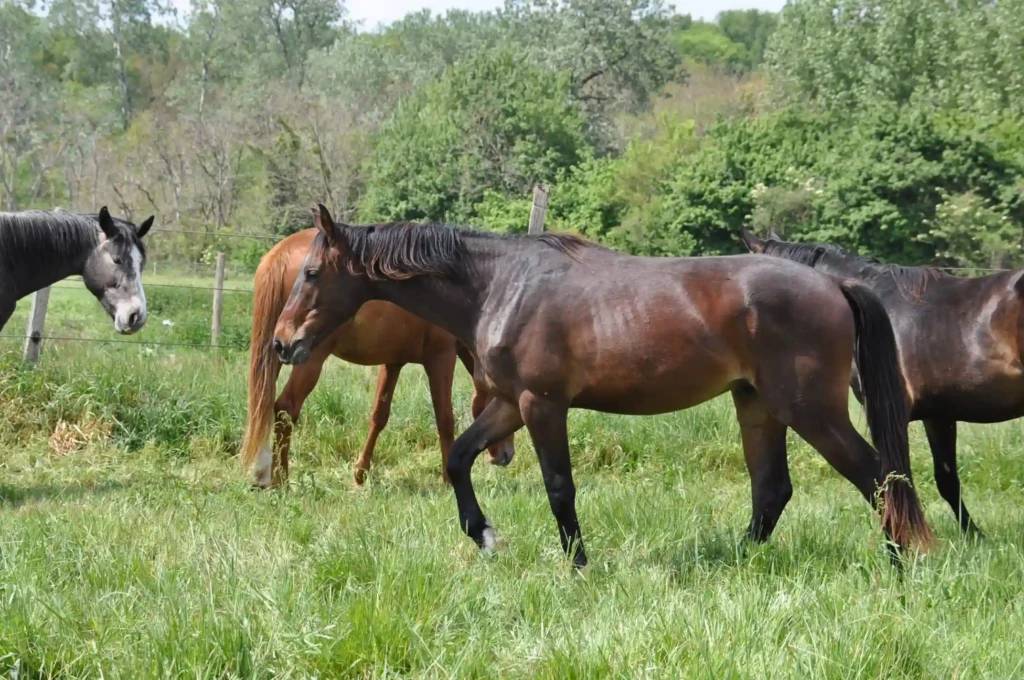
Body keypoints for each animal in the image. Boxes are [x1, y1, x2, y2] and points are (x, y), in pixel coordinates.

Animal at [239, 228, 514, 489]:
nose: (507, 455)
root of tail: (283, 252)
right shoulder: (441, 358)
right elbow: (445, 419)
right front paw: (447, 479)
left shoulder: (393, 363)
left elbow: (379, 416)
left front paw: (360, 474)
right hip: (308, 359)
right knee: (286, 408)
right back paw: (280, 480)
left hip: (274, 353)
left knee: (262, 408)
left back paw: (263, 475)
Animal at [272, 204, 931, 568]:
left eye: (312, 272)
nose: (282, 343)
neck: (501, 285)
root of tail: (834, 286)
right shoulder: (509, 404)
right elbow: (458, 458)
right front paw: (485, 536)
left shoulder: (542, 405)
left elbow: (559, 487)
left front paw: (579, 565)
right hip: (757, 407)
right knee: (773, 490)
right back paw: (736, 560)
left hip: (810, 410)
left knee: (878, 475)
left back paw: (903, 561)